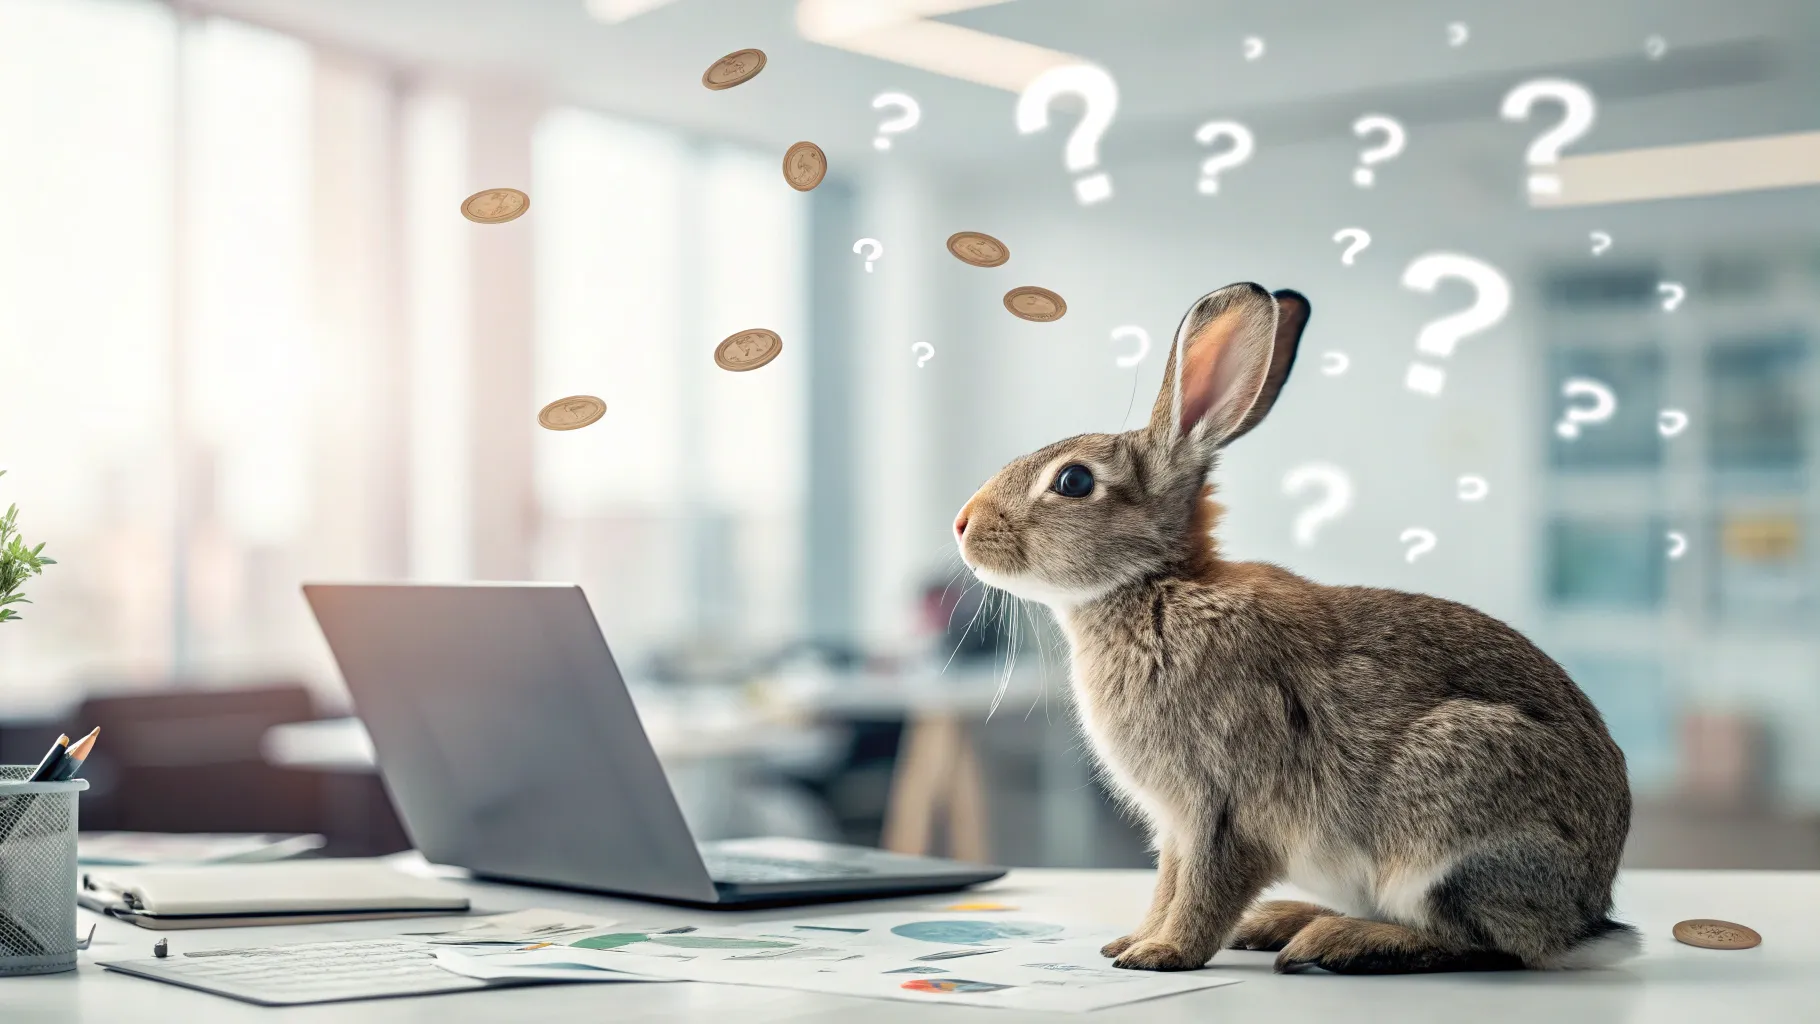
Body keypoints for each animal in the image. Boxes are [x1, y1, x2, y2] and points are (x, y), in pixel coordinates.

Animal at [953, 282, 1638, 975]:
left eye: (1073, 481)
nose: (962, 523)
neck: (1154, 588)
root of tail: (1586, 913)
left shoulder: (1221, 806)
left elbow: (1203, 889)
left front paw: (1163, 954)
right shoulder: (1175, 824)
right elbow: (1167, 884)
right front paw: (1132, 942)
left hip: (1451, 813)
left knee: (1486, 944)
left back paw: (1334, 941)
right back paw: (1285, 923)